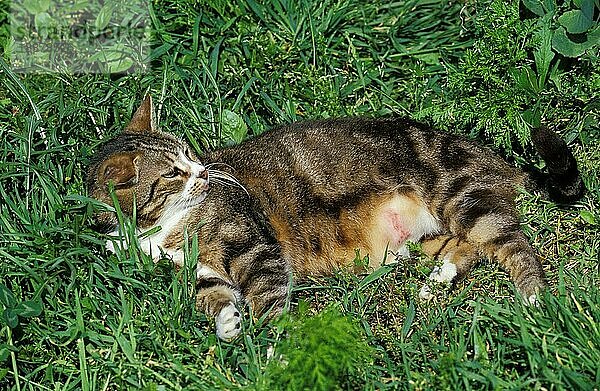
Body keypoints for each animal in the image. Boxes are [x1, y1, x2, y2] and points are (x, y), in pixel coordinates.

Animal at [86, 96, 584, 342]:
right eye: (173, 171)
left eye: (188, 154)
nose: (206, 172)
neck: (155, 230)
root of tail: (489, 154)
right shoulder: (196, 273)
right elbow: (215, 297)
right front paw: (229, 325)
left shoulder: (252, 246)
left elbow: (268, 298)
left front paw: (276, 349)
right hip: (433, 232)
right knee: (469, 248)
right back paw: (437, 278)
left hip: (460, 197)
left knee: (513, 242)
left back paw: (535, 298)